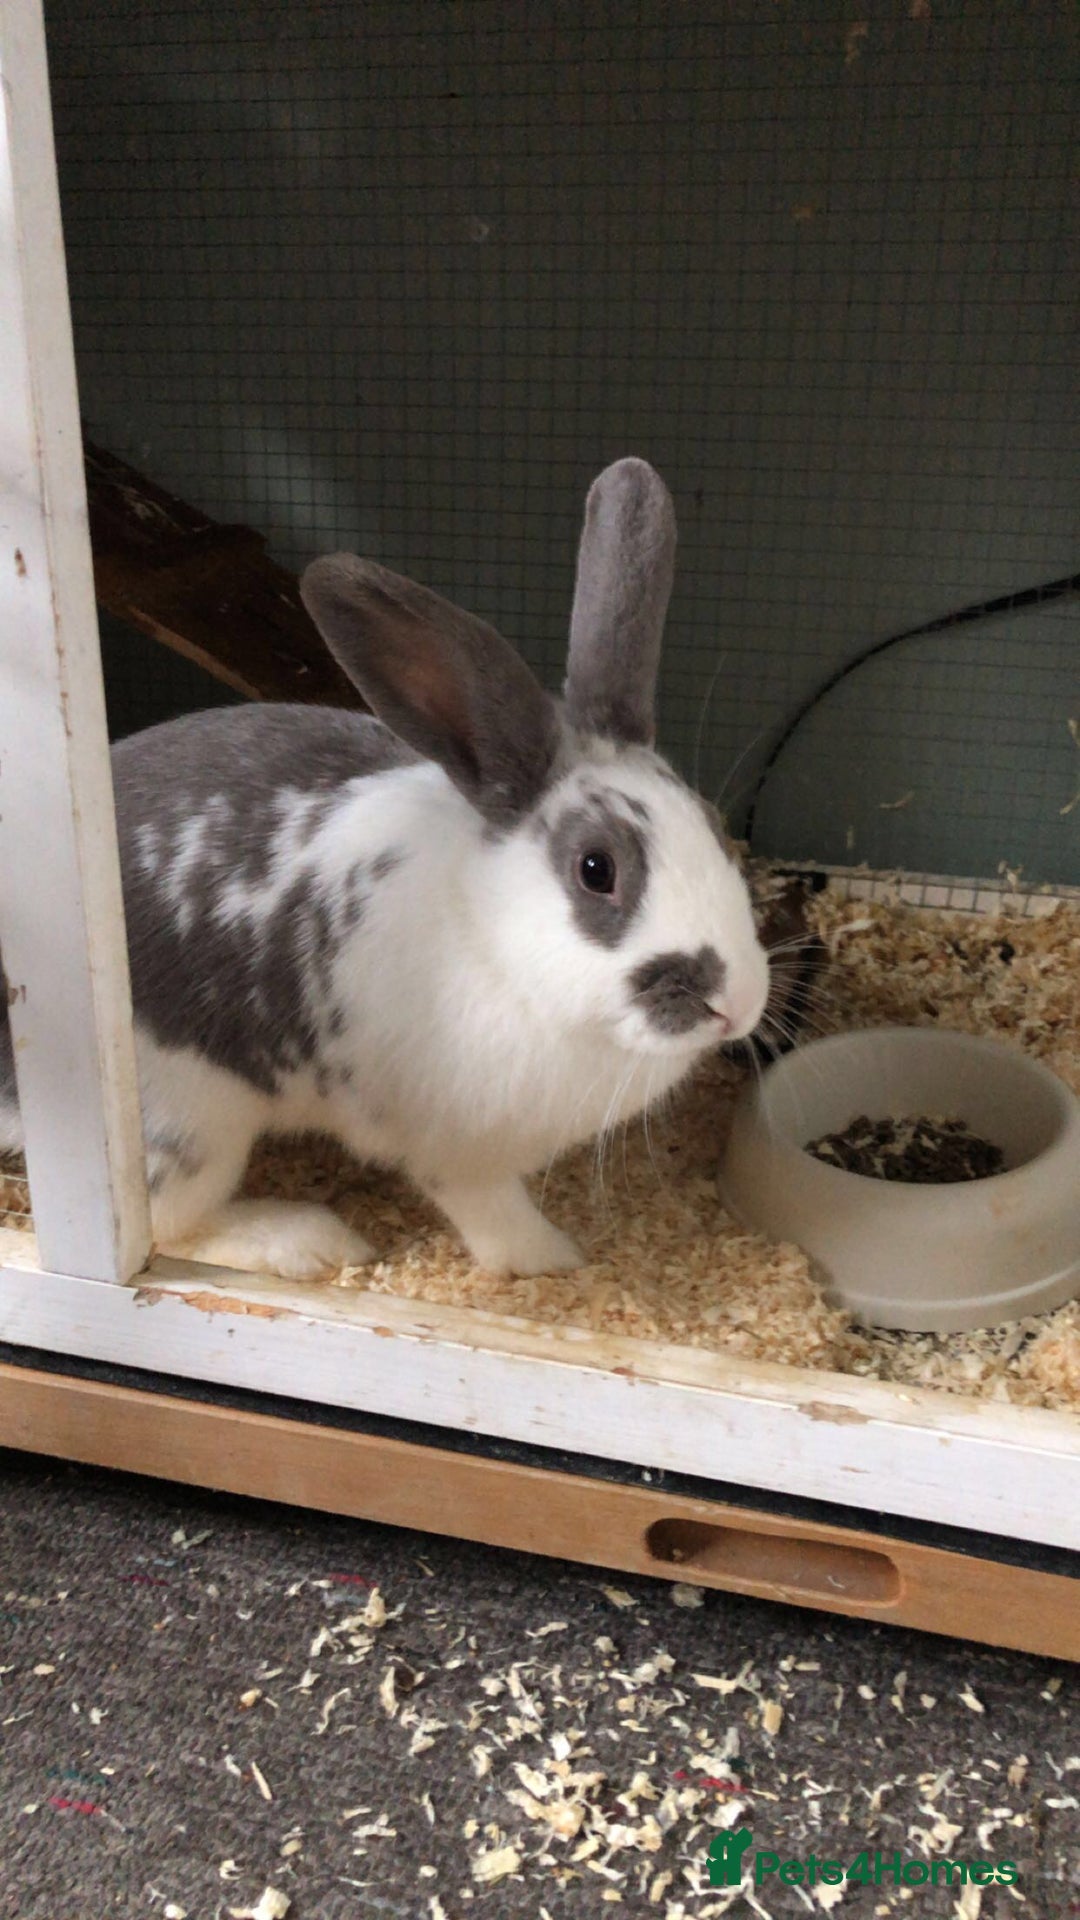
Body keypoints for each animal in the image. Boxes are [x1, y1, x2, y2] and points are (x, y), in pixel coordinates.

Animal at [0, 458, 770, 1281]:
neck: (494, 944)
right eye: (597, 869)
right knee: (169, 1227)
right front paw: (556, 1262)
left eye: (715, 826)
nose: (736, 1004)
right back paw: (306, 1239)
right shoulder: (457, 1153)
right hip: (187, 1123)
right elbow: (496, 1220)